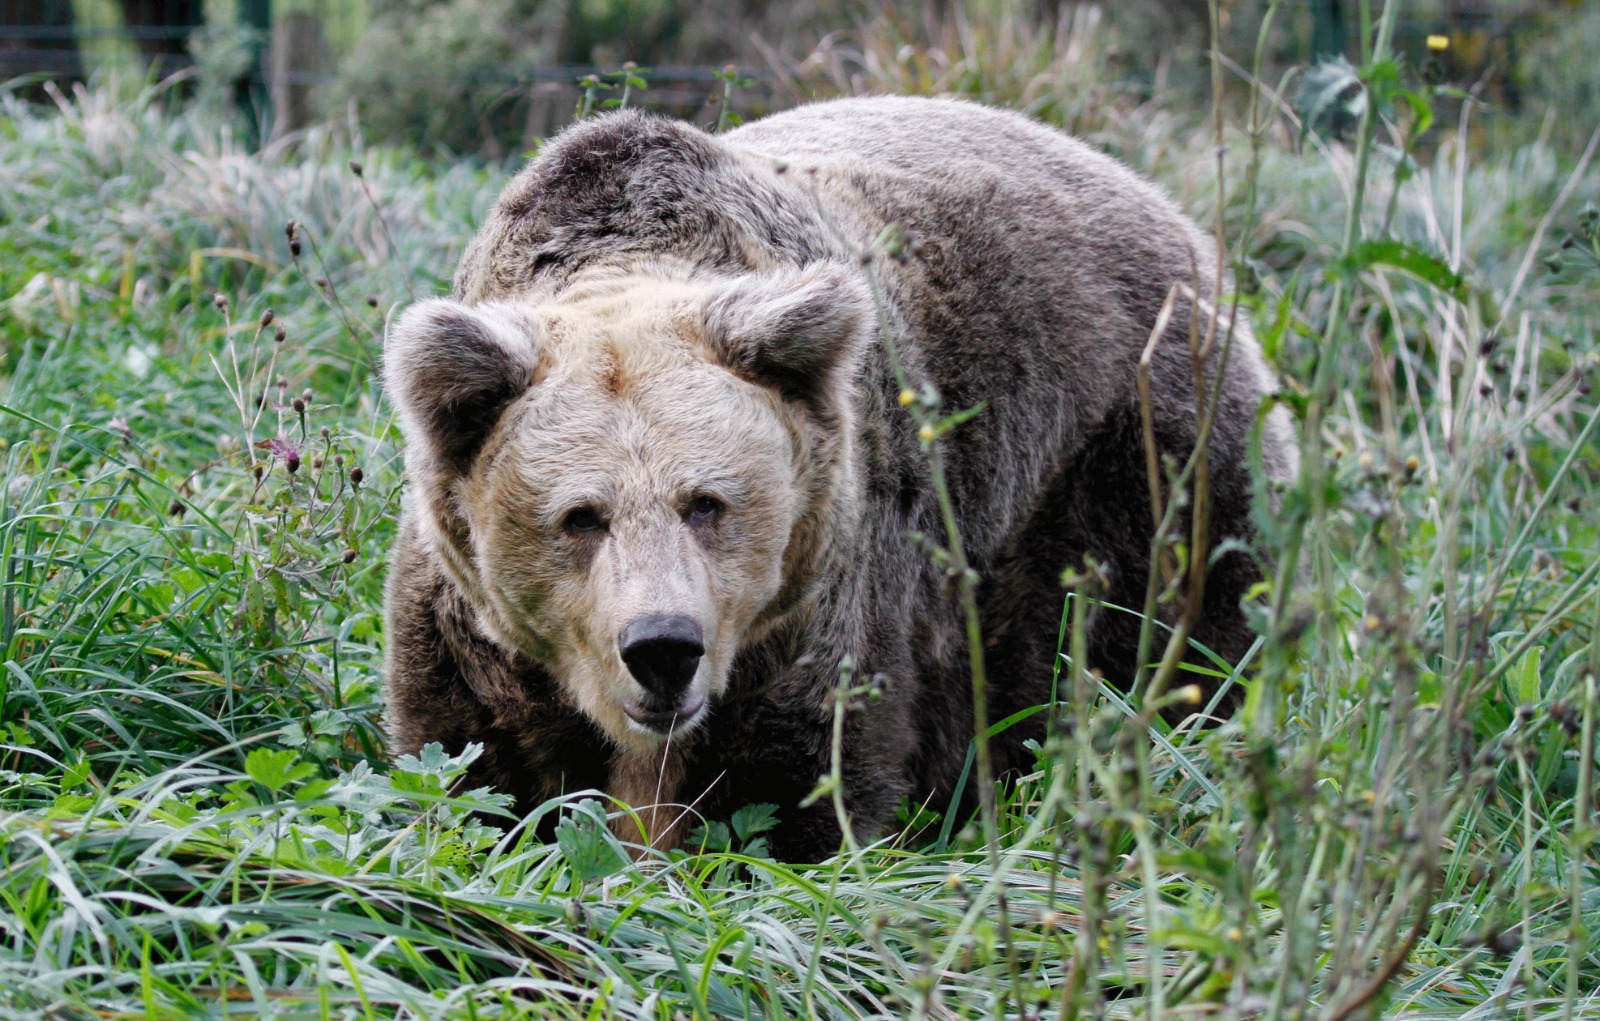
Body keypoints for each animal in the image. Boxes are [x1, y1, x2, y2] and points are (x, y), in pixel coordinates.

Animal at [380, 98, 1292, 864]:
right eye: (581, 515)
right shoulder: (479, 641)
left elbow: (798, 777)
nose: (662, 646)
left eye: (706, 502)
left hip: (1138, 458)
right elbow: (472, 769)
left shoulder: (823, 588)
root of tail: (1178, 218)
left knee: (1171, 632)